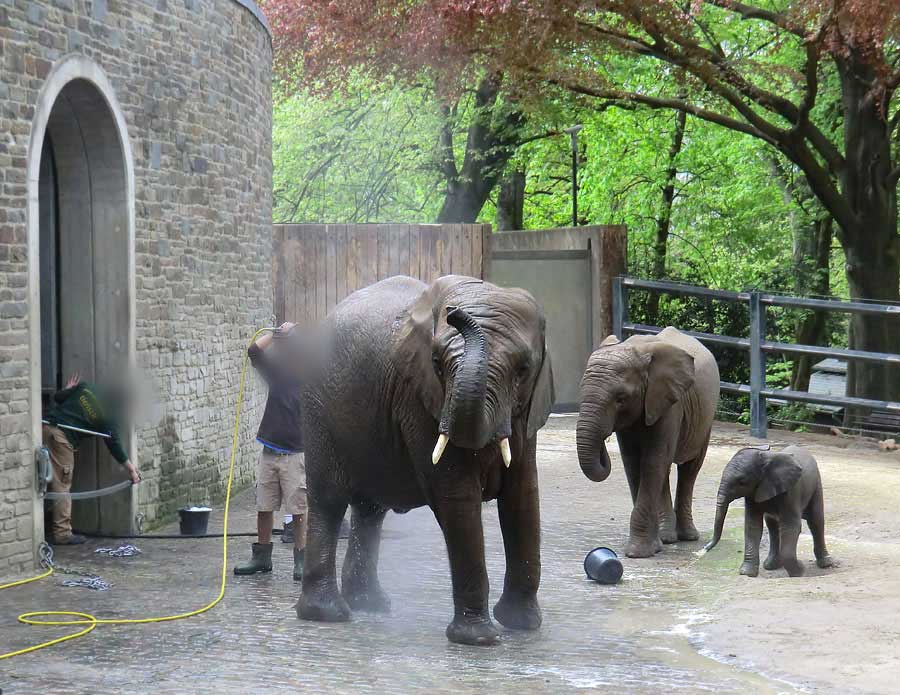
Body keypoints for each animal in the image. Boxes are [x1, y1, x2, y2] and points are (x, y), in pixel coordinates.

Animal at [296, 274, 552, 648]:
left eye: (523, 370)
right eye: (437, 364)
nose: (455, 313)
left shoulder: (526, 413)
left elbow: (523, 497)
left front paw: (522, 624)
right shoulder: (417, 400)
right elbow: (457, 499)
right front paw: (478, 640)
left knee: (369, 510)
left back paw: (371, 605)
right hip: (319, 411)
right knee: (329, 501)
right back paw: (328, 614)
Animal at [580, 326, 720, 560]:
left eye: (620, 398)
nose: (603, 439)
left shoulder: (670, 404)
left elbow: (654, 460)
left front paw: (638, 553)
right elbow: (633, 463)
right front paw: (653, 547)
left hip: (706, 418)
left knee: (689, 469)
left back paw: (687, 537)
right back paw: (667, 538)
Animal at [704, 446, 836, 576]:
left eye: (742, 482)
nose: (705, 548)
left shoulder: (791, 492)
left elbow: (791, 526)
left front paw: (800, 571)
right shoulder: (752, 493)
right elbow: (752, 526)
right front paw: (746, 572)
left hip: (816, 485)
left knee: (816, 520)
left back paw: (826, 564)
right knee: (772, 525)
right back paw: (770, 566)